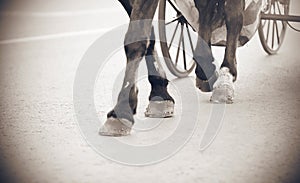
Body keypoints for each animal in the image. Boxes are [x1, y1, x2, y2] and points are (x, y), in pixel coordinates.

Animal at [99, 0, 245, 136]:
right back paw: (205, 69)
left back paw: (225, 77)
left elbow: (137, 38)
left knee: (233, 15)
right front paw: (159, 91)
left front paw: (122, 110)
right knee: (205, 8)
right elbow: (146, 33)